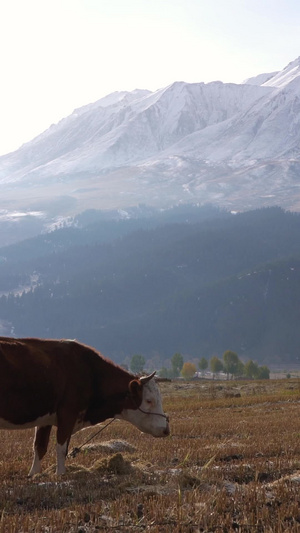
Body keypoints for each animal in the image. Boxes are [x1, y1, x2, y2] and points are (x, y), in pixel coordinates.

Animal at [0, 336, 170, 474]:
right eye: (149, 400)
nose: (166, 429)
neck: (89, 371)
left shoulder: (45, 419)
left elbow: (39, 447)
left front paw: (34, 475)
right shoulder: (68, 414)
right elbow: (61, 448)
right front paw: (60, 475)